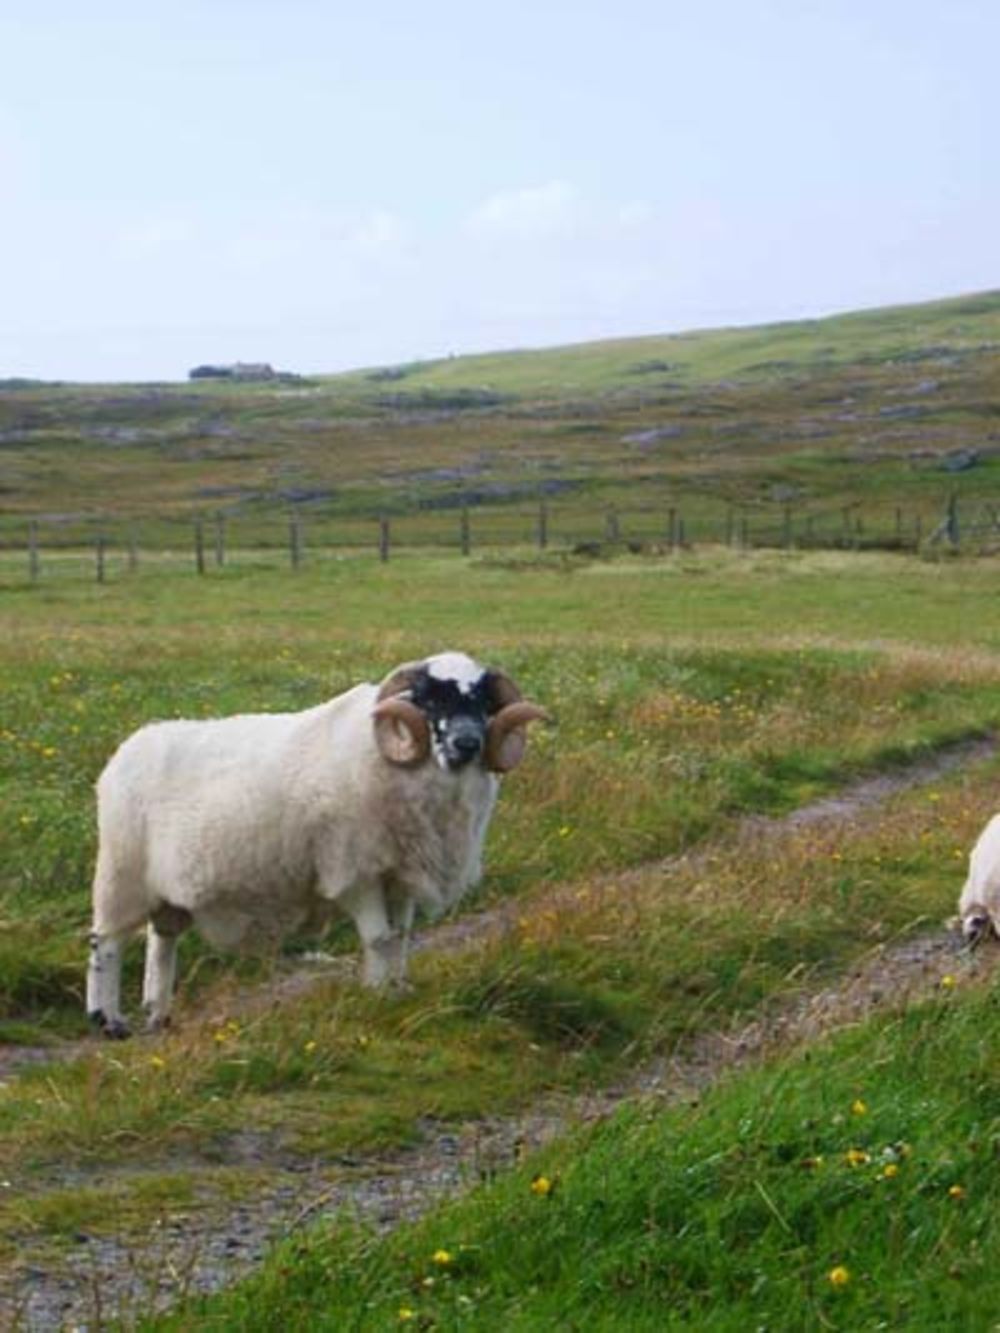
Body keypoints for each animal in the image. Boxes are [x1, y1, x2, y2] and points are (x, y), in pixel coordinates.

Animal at [87, 650, 552, 1034]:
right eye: (429, 699)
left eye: (484, 703)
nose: (467, 744)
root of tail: (126, 751)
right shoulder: (355, 870)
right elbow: (379, 938)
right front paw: (380, 996)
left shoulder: (398, 874)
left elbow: (400, 936)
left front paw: (399, 989)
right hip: (121, 874)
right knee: (105, 940)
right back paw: (108, 1020)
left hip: (164, 890)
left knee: (161, 940)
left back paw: (159, 1013)